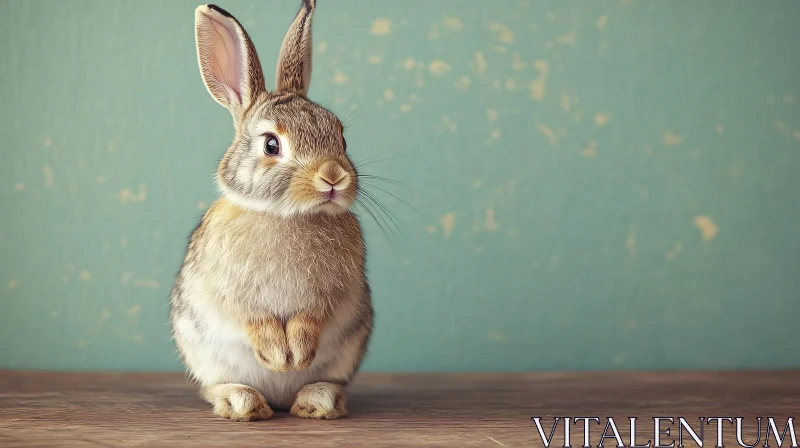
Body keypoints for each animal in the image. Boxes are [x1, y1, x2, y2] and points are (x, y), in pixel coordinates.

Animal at [172, 0, 372, 422]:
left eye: (341, 137)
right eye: (271, 145)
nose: (333, 176)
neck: (284, 214)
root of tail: (279, 399)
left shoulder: (329, 296)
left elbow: (311, 319)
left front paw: (295, 355)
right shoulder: (231, 293)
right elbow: (253, 318)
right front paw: (279, 357)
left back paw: (315, 403)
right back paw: (244, 404)